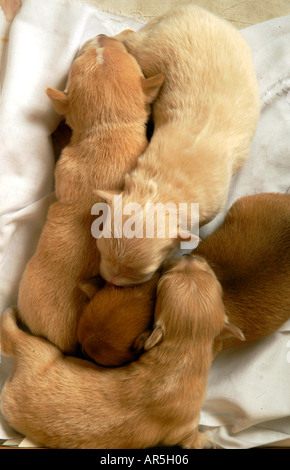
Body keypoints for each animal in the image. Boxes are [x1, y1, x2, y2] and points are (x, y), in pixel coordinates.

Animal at [0, 255, 240, 450]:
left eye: (208, 275)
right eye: (167, 277)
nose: (189, 255)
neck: (182, 353)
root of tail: (22, 357)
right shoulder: (184, 428)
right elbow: (190, 437)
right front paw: (206, 441)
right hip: (42, 351)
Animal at [94, 3, 260, 286]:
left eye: (145, 273)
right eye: (100, 249)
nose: (110, 281)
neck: (163, 187)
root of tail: (187, 9)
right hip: (151, 49)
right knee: (131, 39)